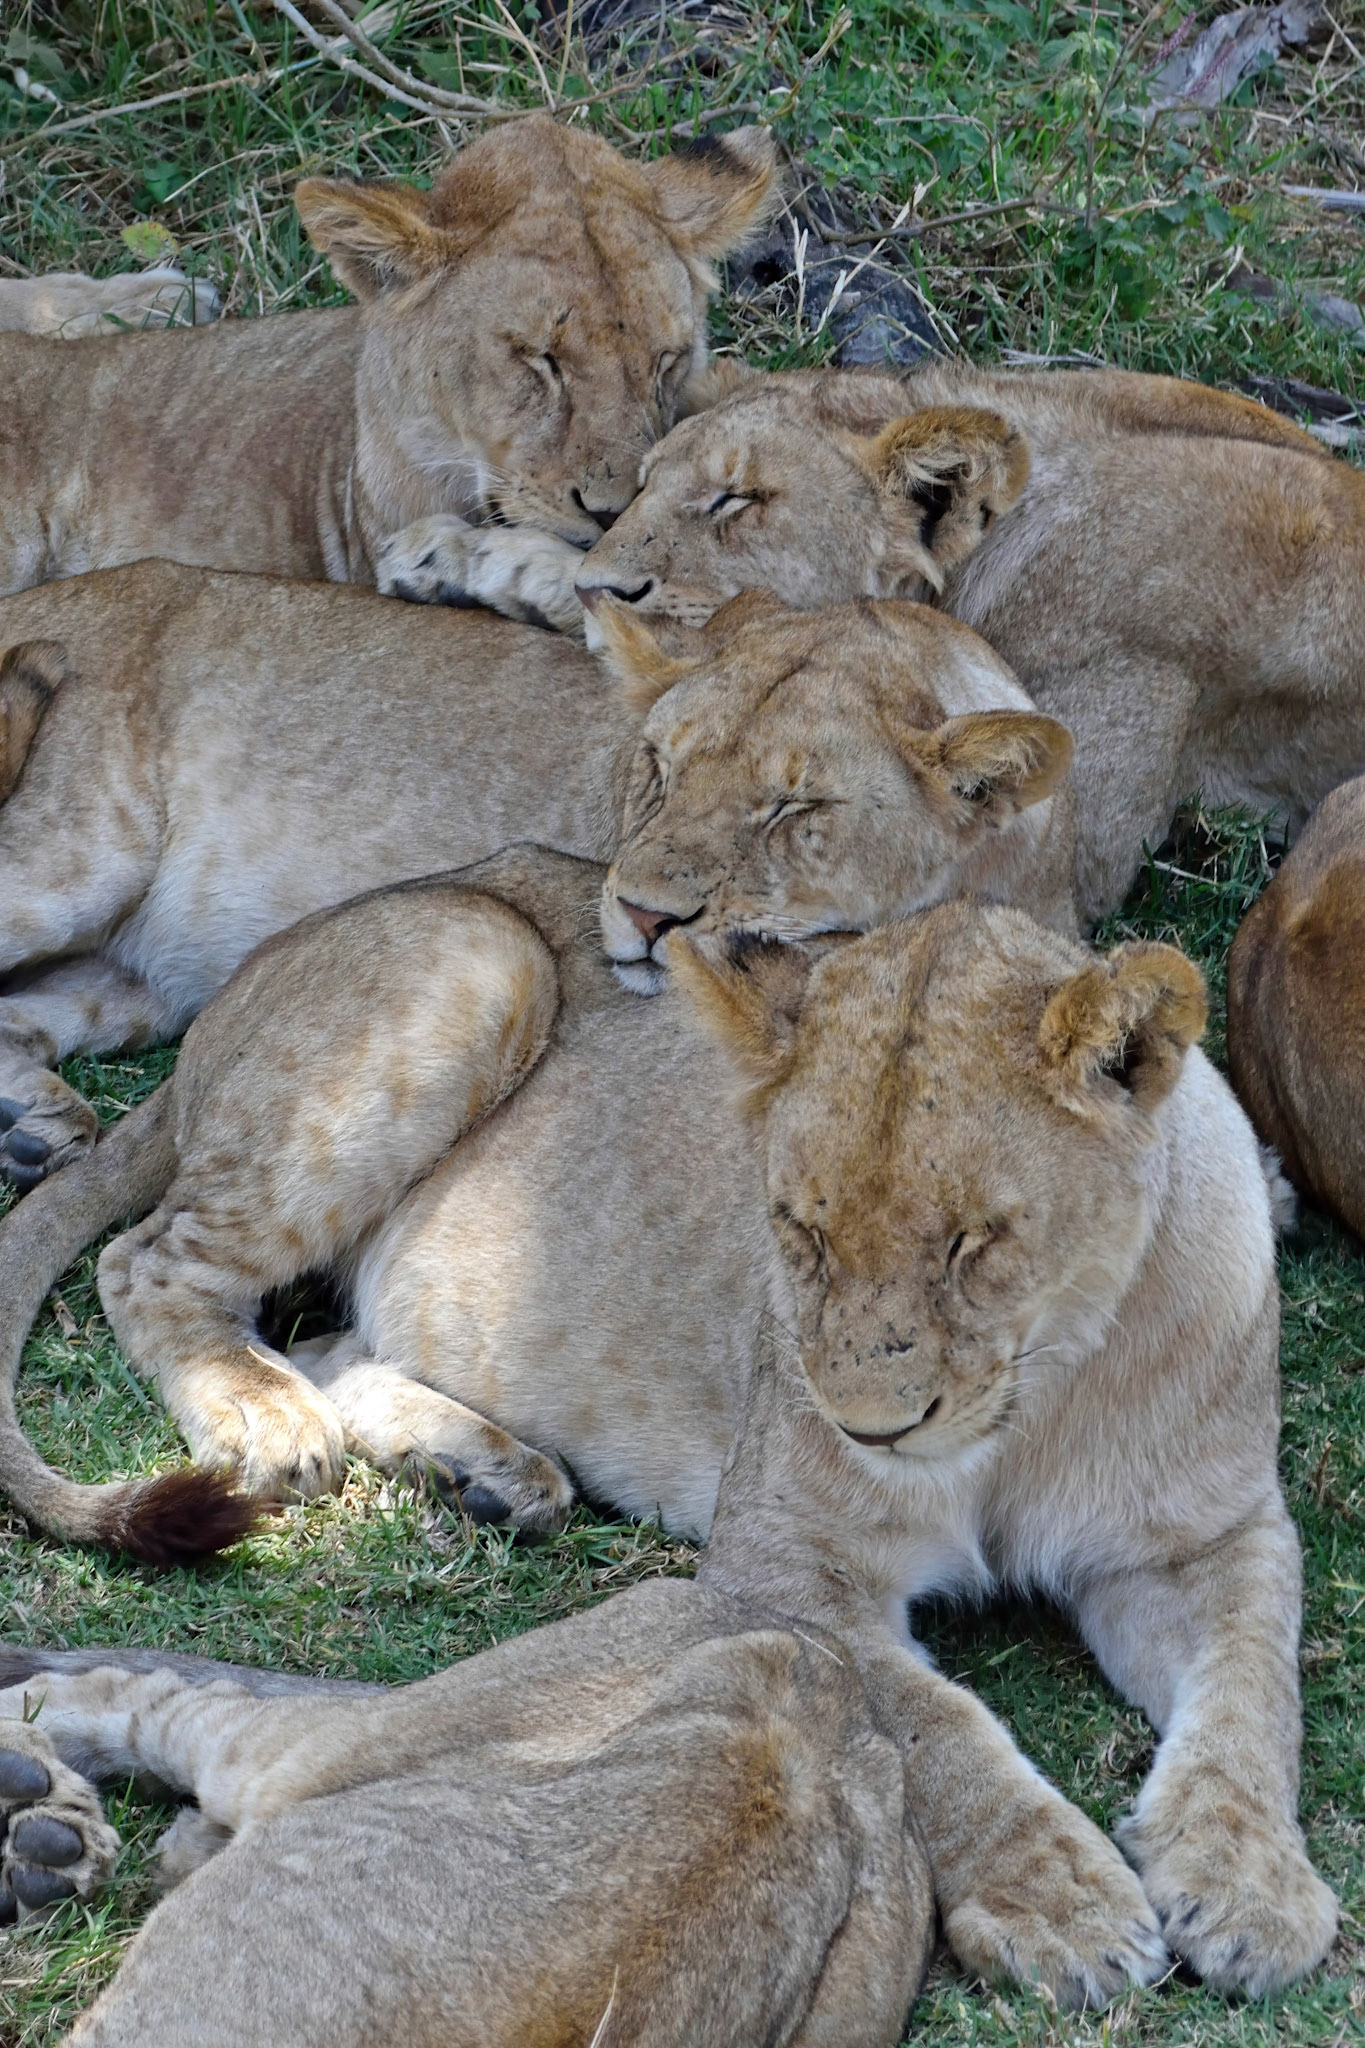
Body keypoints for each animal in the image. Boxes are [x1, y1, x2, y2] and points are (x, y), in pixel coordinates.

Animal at [0, 556, 1073, 1190]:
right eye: (658, 764)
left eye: (792, 809)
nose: (641, 916)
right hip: (74, 855)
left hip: (131, 982)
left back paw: (31, 1126)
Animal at [0, 850, 1335, 2000]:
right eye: (797, 1226)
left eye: (976, 1241)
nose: (870, 1428)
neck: (1037, 1396)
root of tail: (241, 980)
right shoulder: (780, 1562)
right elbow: (942, 1726)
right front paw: (1062, 1900)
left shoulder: (1213, 1535)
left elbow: (1251, 1687)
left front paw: (1253, 1889)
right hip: (483, 958)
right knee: (148, 1261)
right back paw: (271, 1418)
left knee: (329, 1334)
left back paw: (486, 1470)